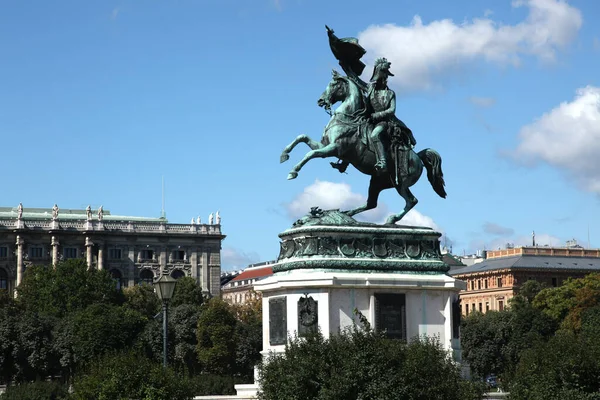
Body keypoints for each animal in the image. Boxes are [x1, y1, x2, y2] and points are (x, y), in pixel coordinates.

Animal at [278, 69, 442, 225]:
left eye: (333, 84)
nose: (320, 100)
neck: (348, 118)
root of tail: (418, 157)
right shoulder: (325, 145)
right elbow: (302, 137)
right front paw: (284, 154)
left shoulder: (334, 148)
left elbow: (310, 154)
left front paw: (293, 172)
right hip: (377, 182)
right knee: (371, 203)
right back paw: (348, 213)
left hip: (400, 183)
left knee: (411, 201)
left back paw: (391, 219)